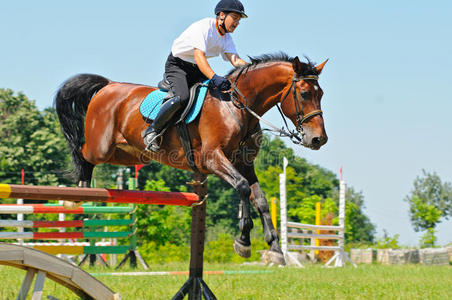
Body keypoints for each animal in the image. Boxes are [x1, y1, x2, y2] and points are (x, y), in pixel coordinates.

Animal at [54, 52, 326, 264]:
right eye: (303, 94)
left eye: (320, 94)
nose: (318, 140)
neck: (237, 107)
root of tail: (107, 86)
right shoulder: (212, 158)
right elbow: (242, 187)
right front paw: (243, 241)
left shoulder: (244, 163)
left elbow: (259, 198)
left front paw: (275, 248)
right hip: (100, 147)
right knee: (81, 153)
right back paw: (77, 197)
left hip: (125, 154)